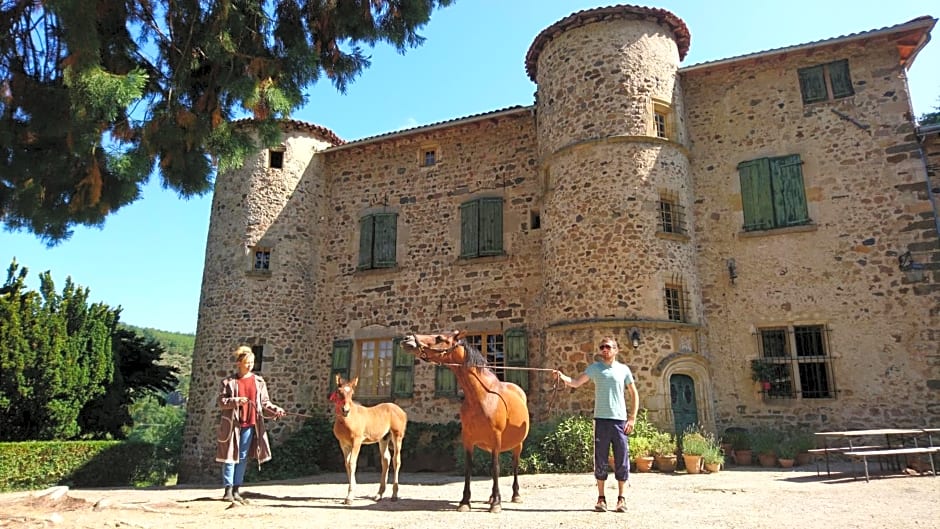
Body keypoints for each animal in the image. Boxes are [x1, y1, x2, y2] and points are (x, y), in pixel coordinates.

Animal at [328, 372, 406, 504]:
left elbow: (352, 463)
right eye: (339, 392)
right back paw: (379, 494)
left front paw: (350, 496)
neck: (346, 421)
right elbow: (347, 464)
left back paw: (394, 495)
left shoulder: (357, 441)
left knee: (396, 460)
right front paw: (351, 493)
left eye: (352, 393)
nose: (345, 410)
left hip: (397, 435)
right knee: (386, 460)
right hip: (383, 438)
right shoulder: (343, 443)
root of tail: (402, 411)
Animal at [398, 330, 528, 512]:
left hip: (518, 444)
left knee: (515, 465)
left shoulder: (495, 438)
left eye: (439, 338)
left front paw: (496, 503)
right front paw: (465, 501)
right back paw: (491, 497)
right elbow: (469, 467)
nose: (407, 339)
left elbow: (496, 467)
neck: (482, 396)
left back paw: (515, 495)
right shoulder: (468, 439)